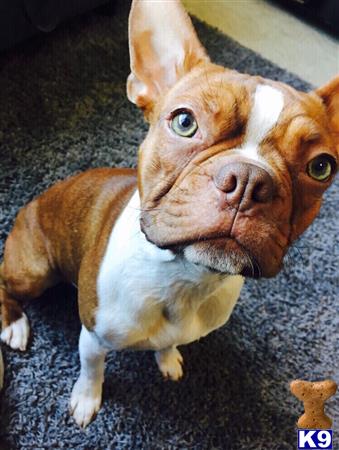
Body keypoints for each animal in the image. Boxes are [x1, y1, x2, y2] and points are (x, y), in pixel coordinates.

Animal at [0, 0, 339, 428]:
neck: (185, 278)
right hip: (34, 271)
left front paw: (167, 359)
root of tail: (29, 205)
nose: (248, 179)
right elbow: (92, 369)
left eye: (321, 167)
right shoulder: (93, 336)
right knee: (5, 284)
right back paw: (14, 324)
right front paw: (86, 400)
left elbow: (166, 345)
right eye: (184, 122)